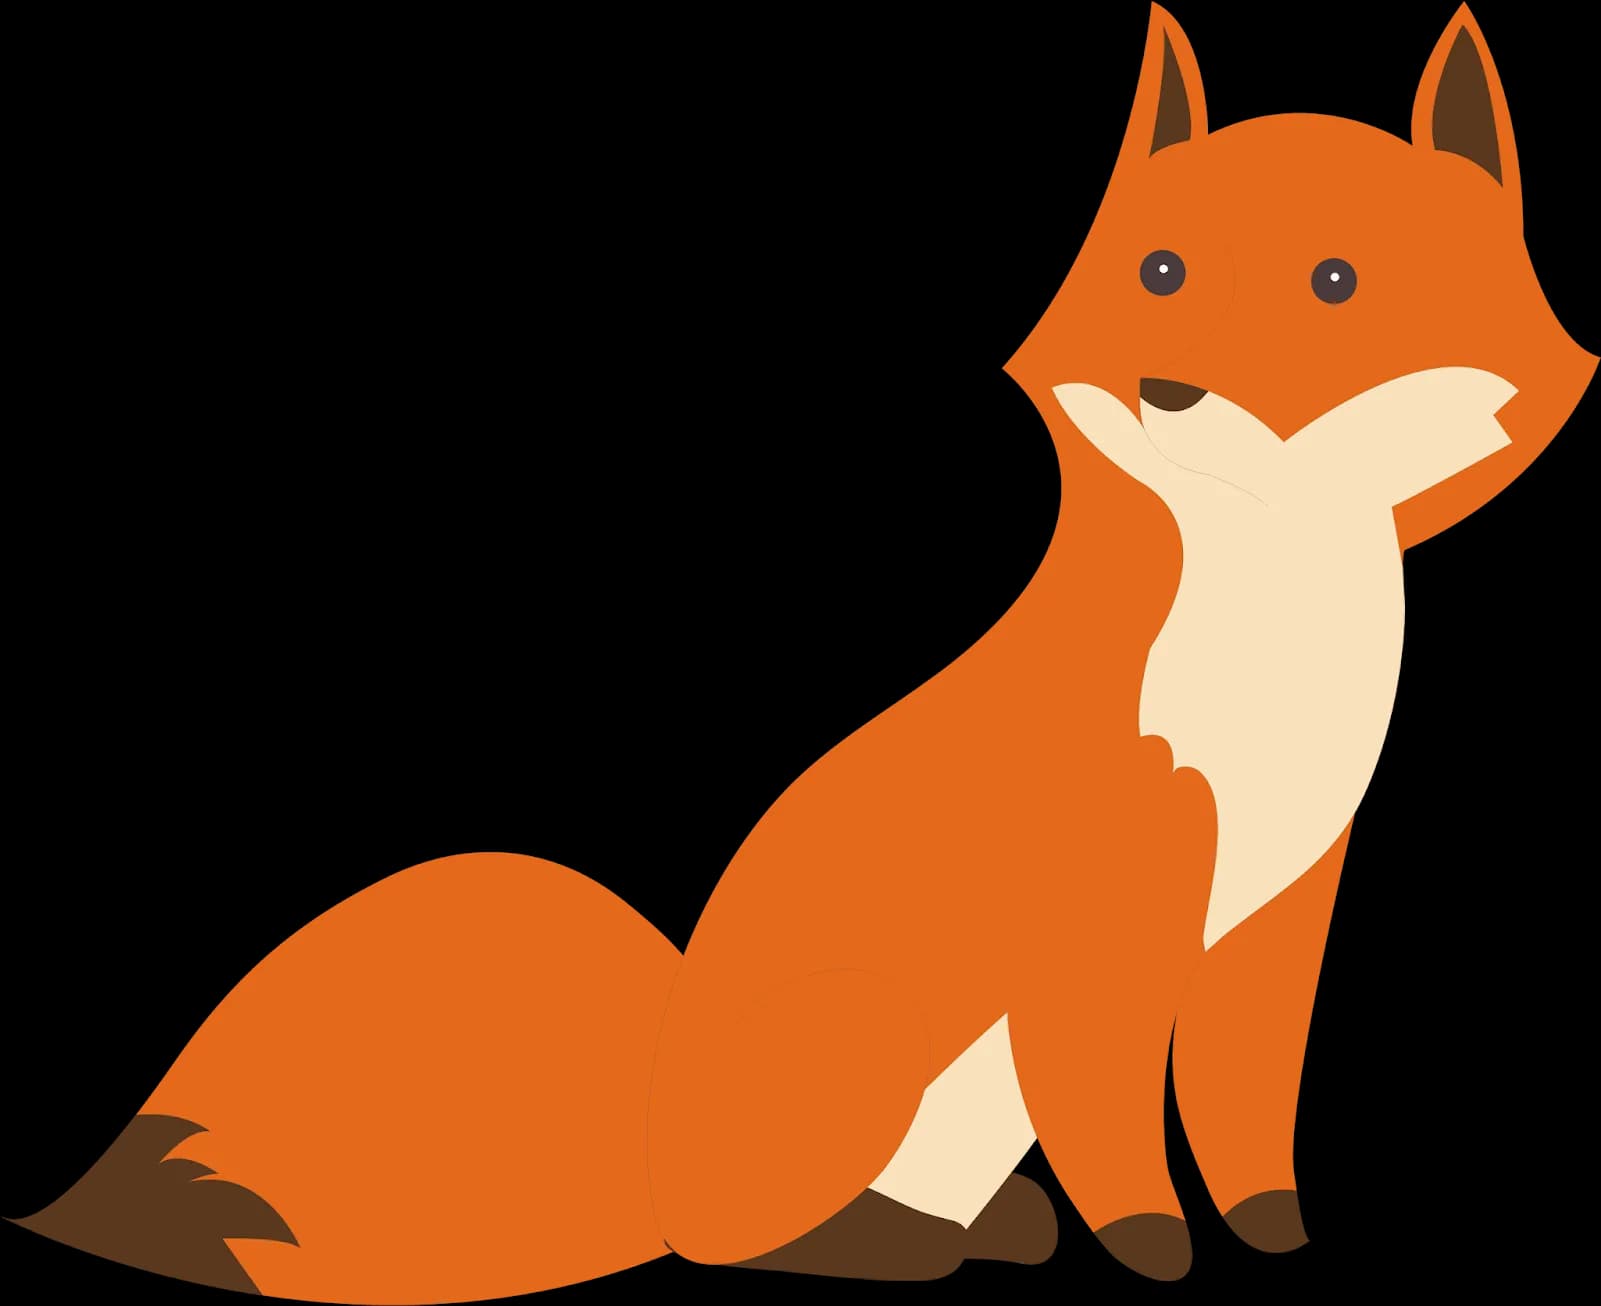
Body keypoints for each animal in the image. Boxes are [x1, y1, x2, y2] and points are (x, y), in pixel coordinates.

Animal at [9, 4, 1594, 1301]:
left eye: (1334, 280)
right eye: (1158, 269)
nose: (1168, 387)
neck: (1268, 644)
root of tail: (654, 1134)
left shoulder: (1281, 904)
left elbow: (1246, 1107)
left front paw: (1272, 1235)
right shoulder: (1103, 921)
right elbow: (1113, 1122)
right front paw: (1152, 1247)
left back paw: (982, 1227)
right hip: (865, 1044)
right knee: (735, 1243)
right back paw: (897, 1245)